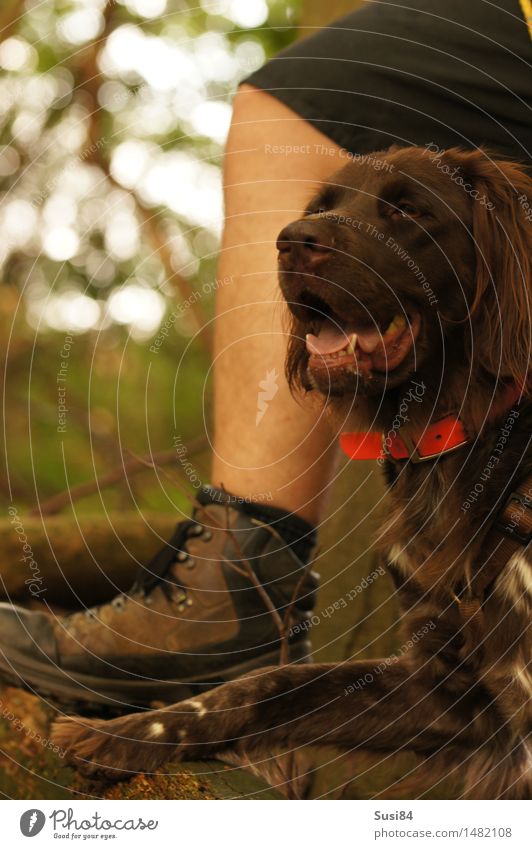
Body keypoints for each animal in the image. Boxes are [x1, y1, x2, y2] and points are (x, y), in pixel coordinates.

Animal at [51, 147, 532, 800]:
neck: (458, 440)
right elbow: (263, 685)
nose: (293, 242)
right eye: (322, 206)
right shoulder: (451, 691)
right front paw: (122, 735)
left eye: (410, 209)